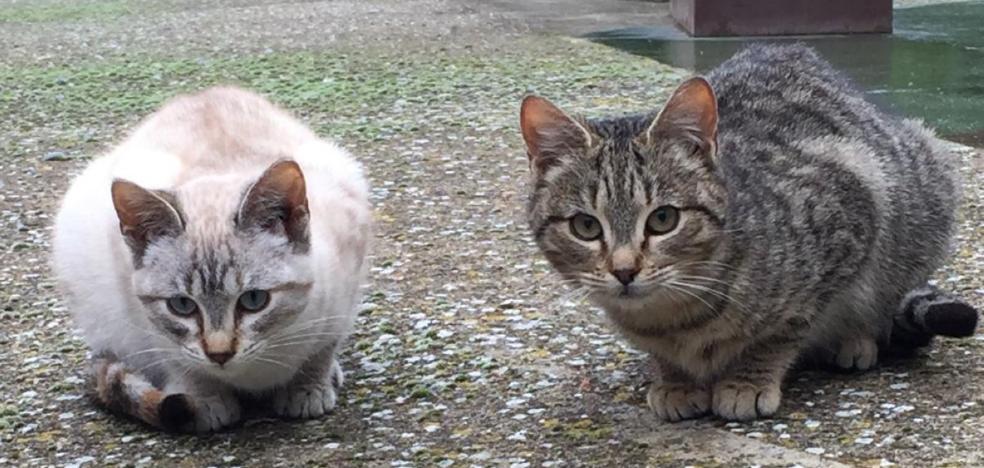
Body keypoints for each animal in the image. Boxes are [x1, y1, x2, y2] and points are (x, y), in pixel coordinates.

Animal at [52, 85, 370, 432]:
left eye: (254, 300)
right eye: (182, 305)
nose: (220, 354)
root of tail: (202, 94)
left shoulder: (345, 287)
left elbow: (322, 351)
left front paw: (308, 389)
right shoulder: (141, 314)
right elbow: (178, 360)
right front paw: (206, 401)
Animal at [520, 44, 980, 422]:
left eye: (663, 219)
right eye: (585, 226)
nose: (624, 270)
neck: (675, 318)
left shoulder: (850, 208)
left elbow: (781, 331)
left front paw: (747, 381)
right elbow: (664, 356)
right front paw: (674, 380)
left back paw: (856, 341)